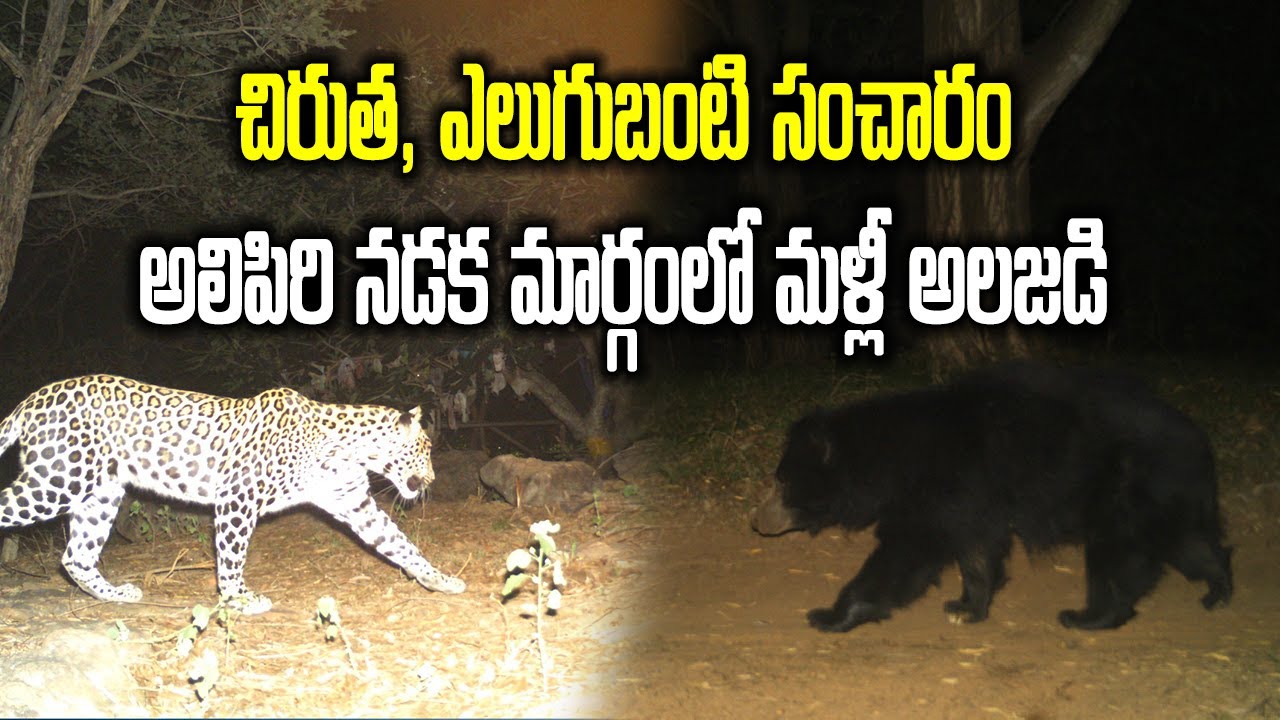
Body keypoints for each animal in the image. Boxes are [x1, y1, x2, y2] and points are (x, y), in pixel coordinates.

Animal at [0, 374, 465, 614]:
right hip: (58, 480)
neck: (348, 450)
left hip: (99, 492)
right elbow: (232, 553)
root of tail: (31, 399)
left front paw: (437, 578)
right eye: (425, 448)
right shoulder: (239, 497)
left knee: (75, 556)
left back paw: (115, 594)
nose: (433, 478)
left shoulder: (353, 502)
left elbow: (399, 543)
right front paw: (237, 597)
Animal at [750, 363, 1233, 632]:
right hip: (1166, 498)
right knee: (1190, 544)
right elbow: (977, 551)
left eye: (782, 482)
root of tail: (1200, 440)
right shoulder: (972, 501)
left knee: (1119, 557)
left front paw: (829, 615)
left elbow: (907, 552)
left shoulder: (949, 485)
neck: (896, 457)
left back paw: (1088, 616)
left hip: (1126, 490)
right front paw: (966, 606)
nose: (756, 520)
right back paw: (1218, 589)